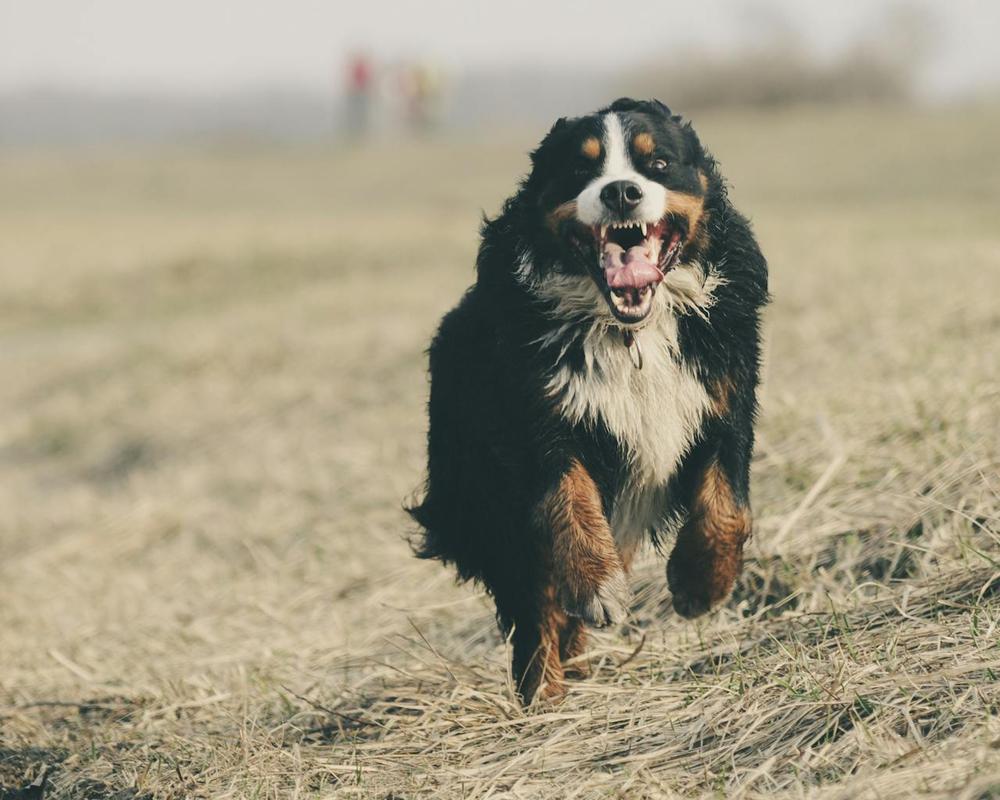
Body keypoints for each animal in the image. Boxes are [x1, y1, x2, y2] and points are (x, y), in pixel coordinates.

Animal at [406, 100, 764, 708]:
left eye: (658, 163)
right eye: (580, 169)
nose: (621, 191)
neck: (630, 332)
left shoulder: (725, 399)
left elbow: (727, 507)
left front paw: (700, 584)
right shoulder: (540, 422)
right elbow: (569, 503)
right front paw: (597, 587)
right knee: (534, 602)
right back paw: (544, 691)